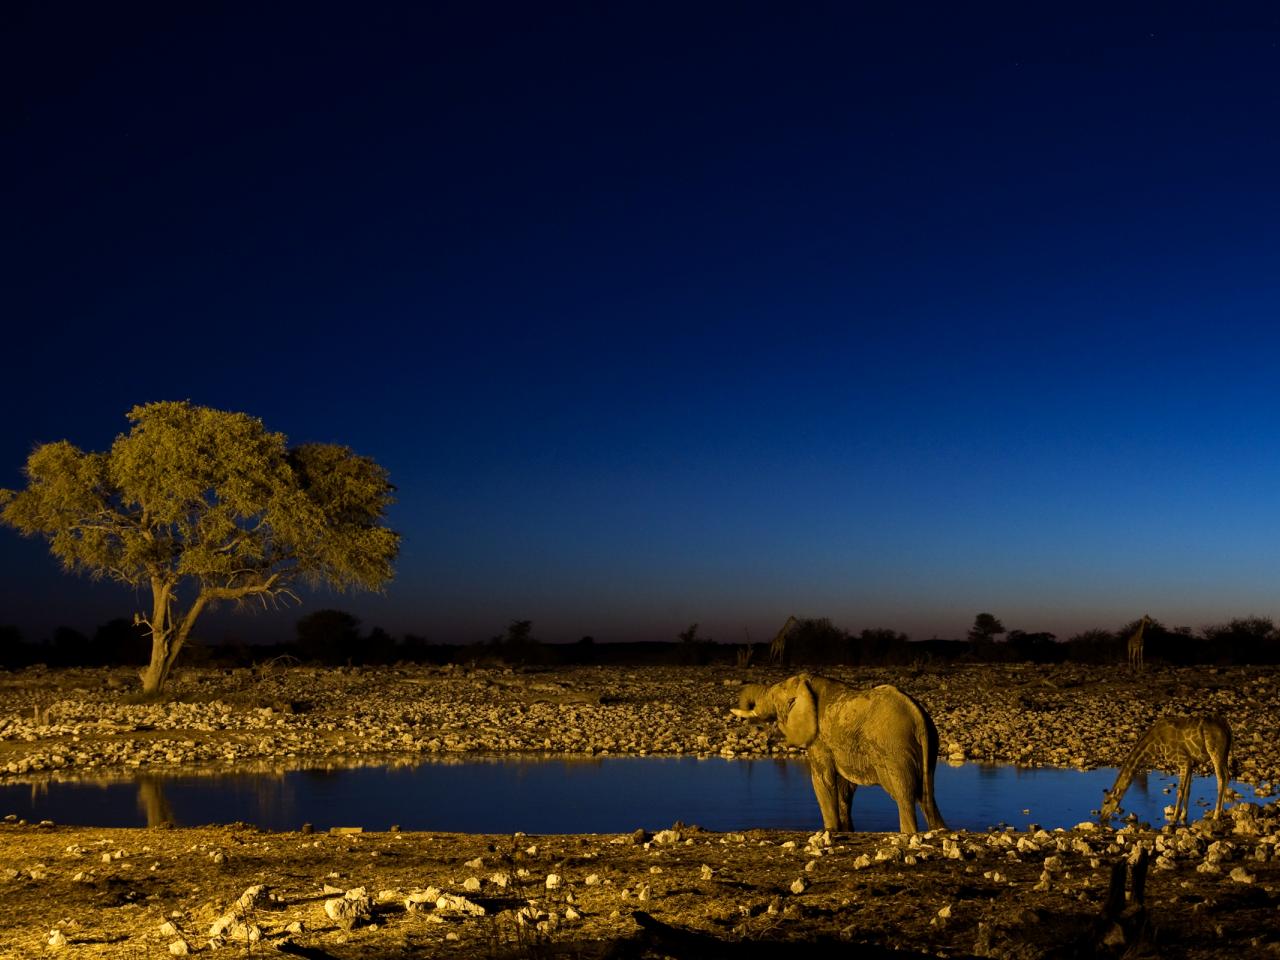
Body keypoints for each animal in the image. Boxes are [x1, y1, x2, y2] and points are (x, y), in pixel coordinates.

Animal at [732, 675, 952, 834]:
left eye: (773, 697)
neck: (806, 682)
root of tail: (918, 716)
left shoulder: (819, 738)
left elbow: (822, 780)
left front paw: (830, 830)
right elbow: (845, 787)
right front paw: (846, 831)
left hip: (894, 748)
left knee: (904, 793)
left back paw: (909, 833)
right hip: (930, 745)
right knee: (926, 795)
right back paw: (940, 831)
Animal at [1100, 716, 1228, 829]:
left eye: (1106, 802)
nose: (1101, 818)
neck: (1155, 743)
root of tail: (1227, 729)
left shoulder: (1183, 761)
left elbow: (1180, 791)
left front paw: (1174, 820)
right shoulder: (1190, 763)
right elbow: (1187, 791)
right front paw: (1183, 816)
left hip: (1215, 752)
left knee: (1220, 779)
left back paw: (1216, 815)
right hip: (1225, 754)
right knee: (1227, 776)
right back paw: (1221, 813)